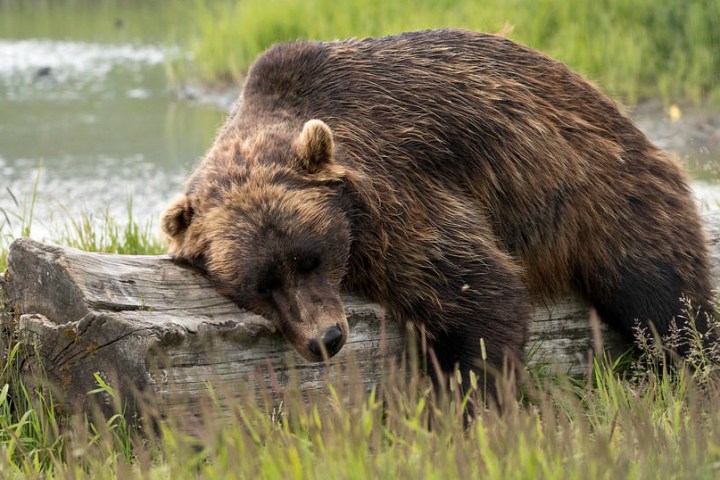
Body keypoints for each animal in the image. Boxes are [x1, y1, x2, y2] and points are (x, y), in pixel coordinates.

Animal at [161, 28, 714, 402]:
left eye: (310, 258)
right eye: (260, 284)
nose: (326, 340)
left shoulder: (399, 195)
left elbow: (475, 289)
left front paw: (465, 399)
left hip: (602, 199)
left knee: (663, 298)